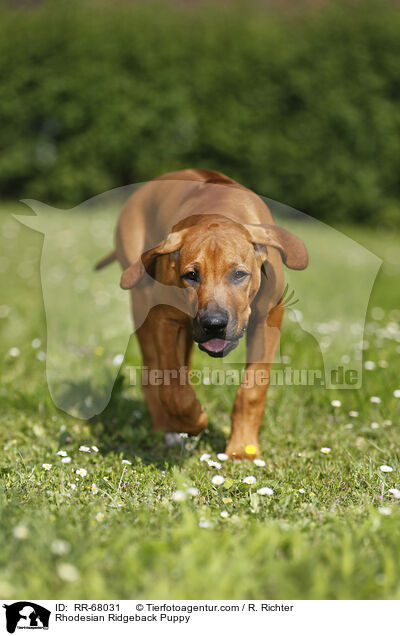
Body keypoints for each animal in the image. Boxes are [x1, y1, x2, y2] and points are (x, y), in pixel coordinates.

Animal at [97, 169, 310, 458]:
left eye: (239, 274)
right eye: (191, 275)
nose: (214, 324)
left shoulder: (269, 318)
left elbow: (253, 389)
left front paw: (242, 447)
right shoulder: (163, 317)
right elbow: (172, 387)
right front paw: (194, 420)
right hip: (142, 303)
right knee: (152, 374)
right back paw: (168, 429)